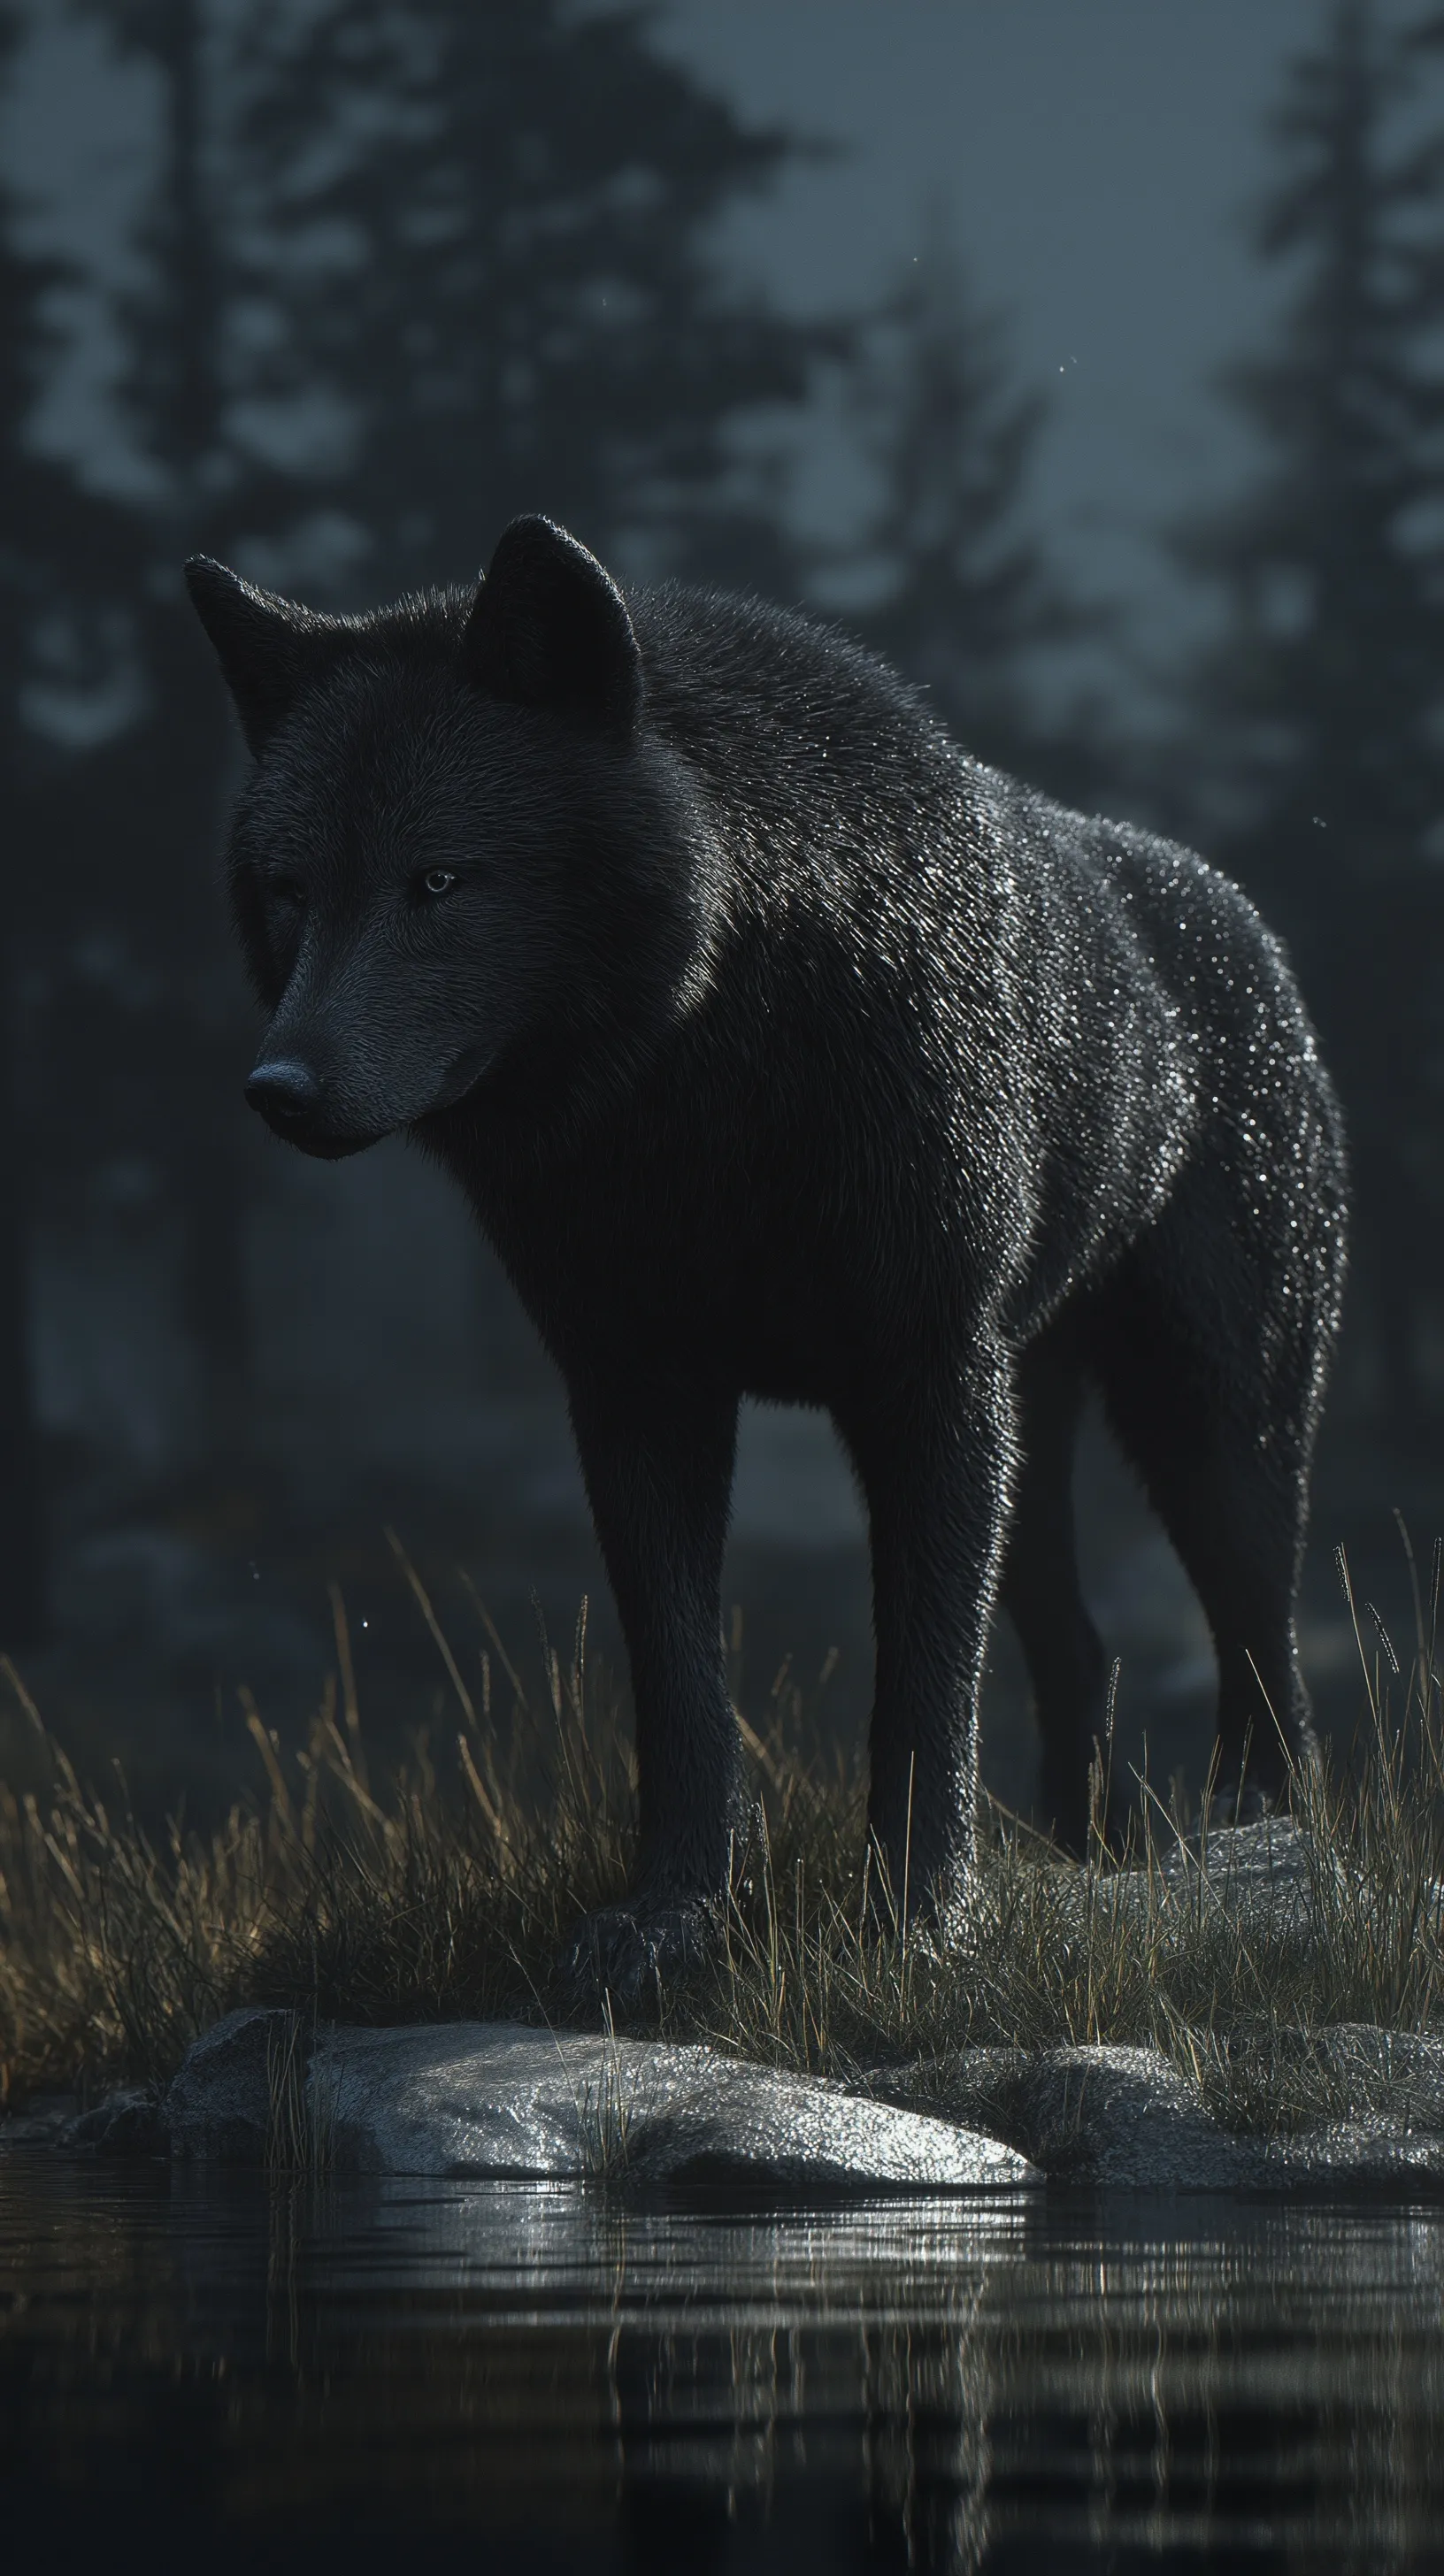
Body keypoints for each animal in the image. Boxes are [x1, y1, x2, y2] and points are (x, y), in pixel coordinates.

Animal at [187, 514, 1347, 1998]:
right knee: (1085, 1654)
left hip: (1208, 1419)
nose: (278, 1088)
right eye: (292, 892)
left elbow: (921, 1689)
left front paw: (915, 1922)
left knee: (1261, 1642)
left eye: (438, 879)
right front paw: (666, 1921)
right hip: (1033, 1437)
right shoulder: (637, 1394)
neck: (705, 1093)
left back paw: (1257, 1848)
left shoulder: (921, 1383)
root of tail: (1243, 920)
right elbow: (684, 1694)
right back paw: (1072, 1857)